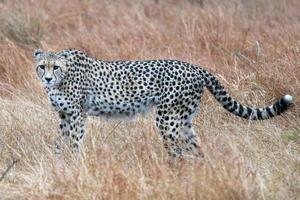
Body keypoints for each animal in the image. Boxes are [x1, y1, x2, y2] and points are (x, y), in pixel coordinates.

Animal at [33, 48, 292, 158]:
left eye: (55, 67)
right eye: (41, 66)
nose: (47, 78)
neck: (62, 78)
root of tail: (196, 67)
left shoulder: (77, 115)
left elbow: (74, 142)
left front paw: (74, 165)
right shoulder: (65, 116)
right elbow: (60, 142)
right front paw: (59, 165)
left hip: (167, 119)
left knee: (177, 150)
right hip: (183, 119)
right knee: (195, 148)